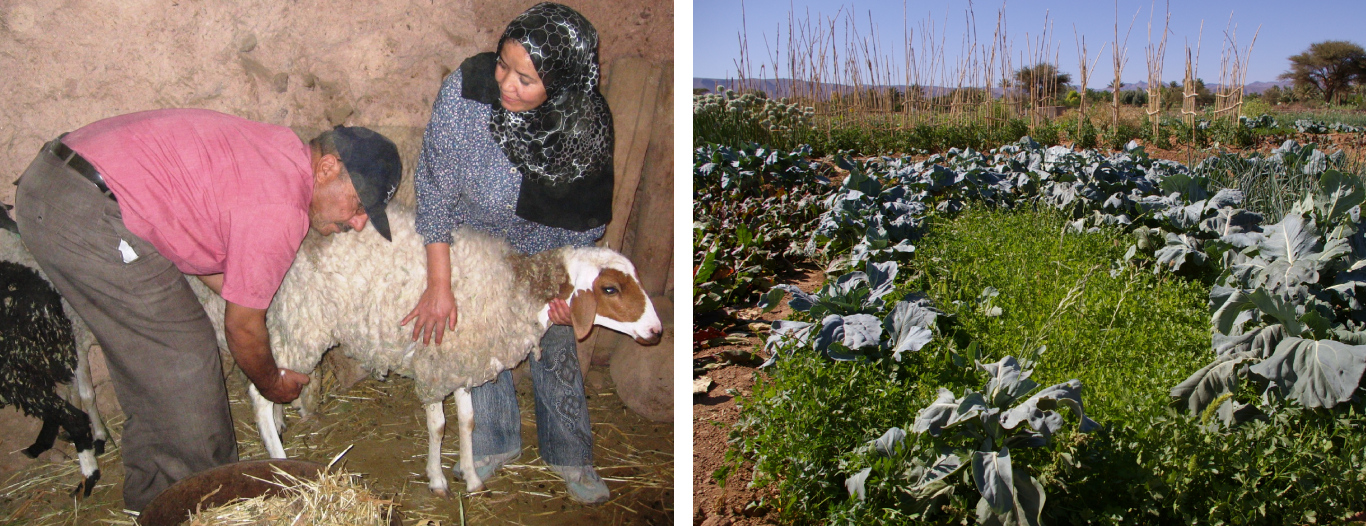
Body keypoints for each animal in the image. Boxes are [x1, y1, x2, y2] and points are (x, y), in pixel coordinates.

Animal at [193, 203, 661, 491]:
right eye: (611, 288)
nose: (656, 332)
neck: (516, 289)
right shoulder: (435, 365)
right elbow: (438, 426)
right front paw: (437, 479)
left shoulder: (462, 363)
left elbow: (468, 422)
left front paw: (471, 477)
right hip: (302, 322)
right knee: (259, 394)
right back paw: (279, 459)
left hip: (287, 323)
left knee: (274, 381)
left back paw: (282, 423)